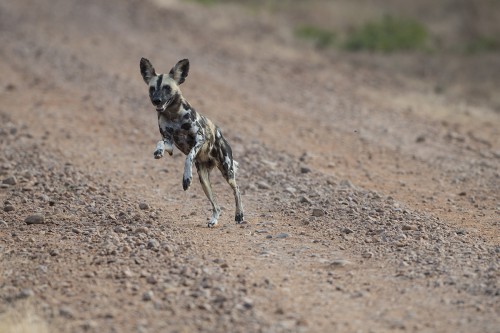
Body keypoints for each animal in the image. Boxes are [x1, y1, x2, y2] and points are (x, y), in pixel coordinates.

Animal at [140, 58, 243, 227]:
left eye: (167, 88)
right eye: (152, 88)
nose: (156, 100)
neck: (173, 114)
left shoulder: (199, 139)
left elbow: (188, 157)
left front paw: (186, 178)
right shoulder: (169, 143)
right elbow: (160, 142)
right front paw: (158, 152)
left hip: (227, 172)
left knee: (237, 190)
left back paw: (239, 215)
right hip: (204, 181)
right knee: (216, 205)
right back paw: (214, 220)